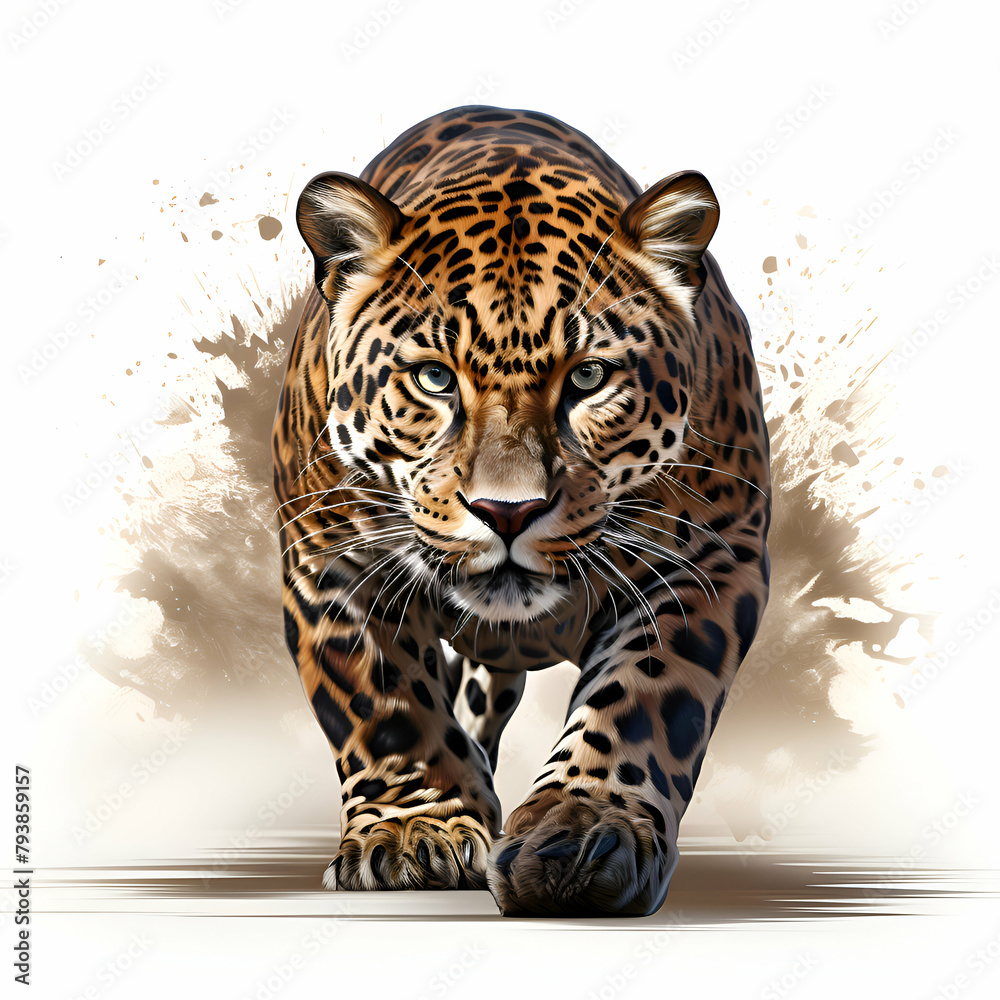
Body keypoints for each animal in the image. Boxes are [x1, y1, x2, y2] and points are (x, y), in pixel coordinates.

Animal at [271, 105, 771, 917]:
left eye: (589, 378)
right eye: (435, 378)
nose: (508, 512)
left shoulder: (711, 561)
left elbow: (642, 701)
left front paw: (583, 833)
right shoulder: (333, 563)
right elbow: (388, 708)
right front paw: (415, 831)